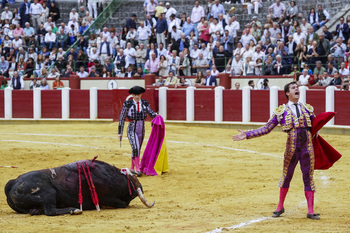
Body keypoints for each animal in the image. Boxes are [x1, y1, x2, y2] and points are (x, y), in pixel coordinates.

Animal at [4, 159, 154, 216]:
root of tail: (13, 182)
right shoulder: (107, 197)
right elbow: (122, 203)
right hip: (48, 193)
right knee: (50, 210)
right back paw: (74, 210)